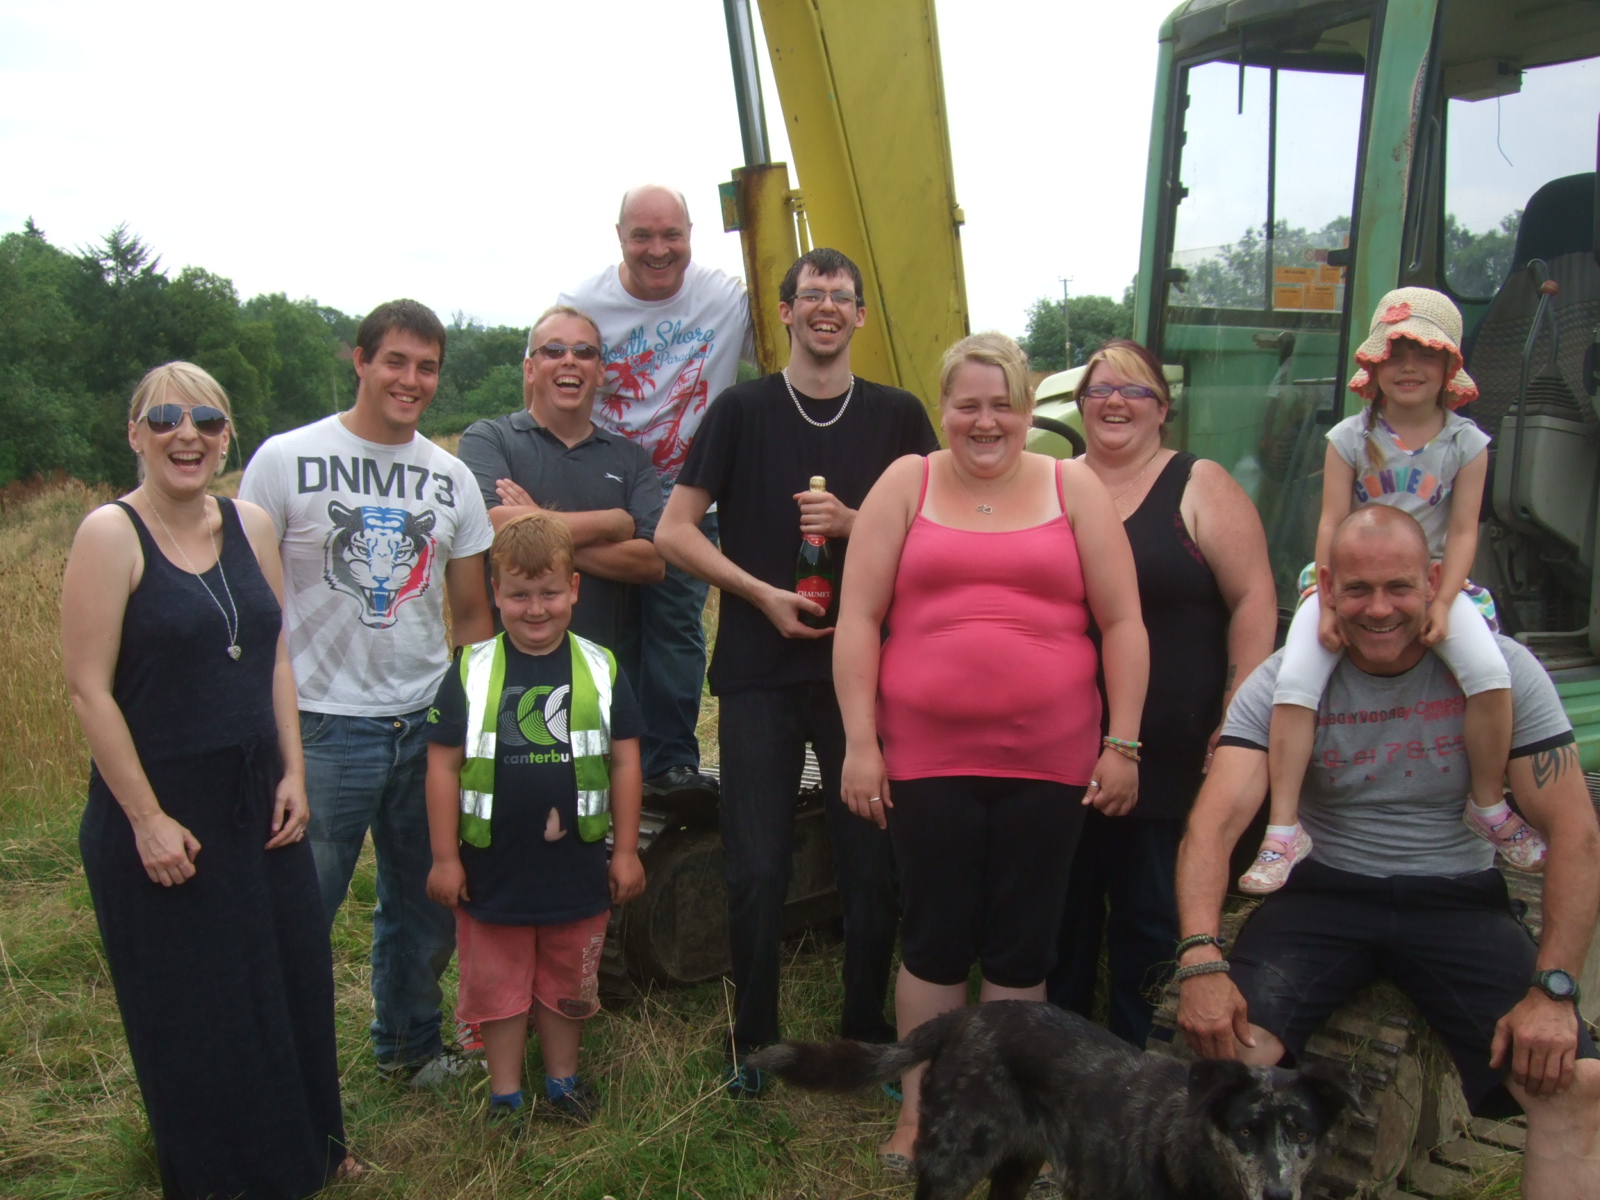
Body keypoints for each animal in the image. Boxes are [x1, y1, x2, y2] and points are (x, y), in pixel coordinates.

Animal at [745, 1004, 1350, 1200]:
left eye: (1301, 1133)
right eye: (1245, 1130)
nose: (1278, 1194)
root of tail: (961, 1017)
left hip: (1015, 1166)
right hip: (952, 1164)